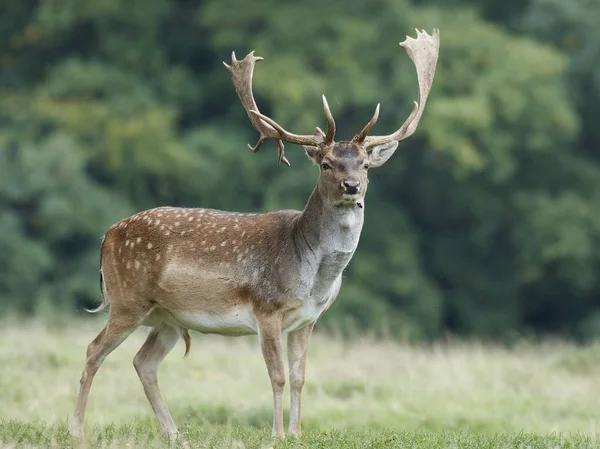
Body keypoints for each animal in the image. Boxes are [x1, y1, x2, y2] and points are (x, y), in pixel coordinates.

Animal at [69, 28, 440, 438]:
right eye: (326, 164)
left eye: (365, 164)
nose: (352, 186)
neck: (315, 277)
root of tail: (106, 236)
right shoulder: (266, 309)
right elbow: (277, 376)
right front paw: (277, 434)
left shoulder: (309, 319)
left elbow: (300, 378)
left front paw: (296, 433)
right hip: (127, 299)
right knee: (93, 350)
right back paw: (77, 430)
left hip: (167, 316)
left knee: (143, 362)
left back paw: (173, 433)